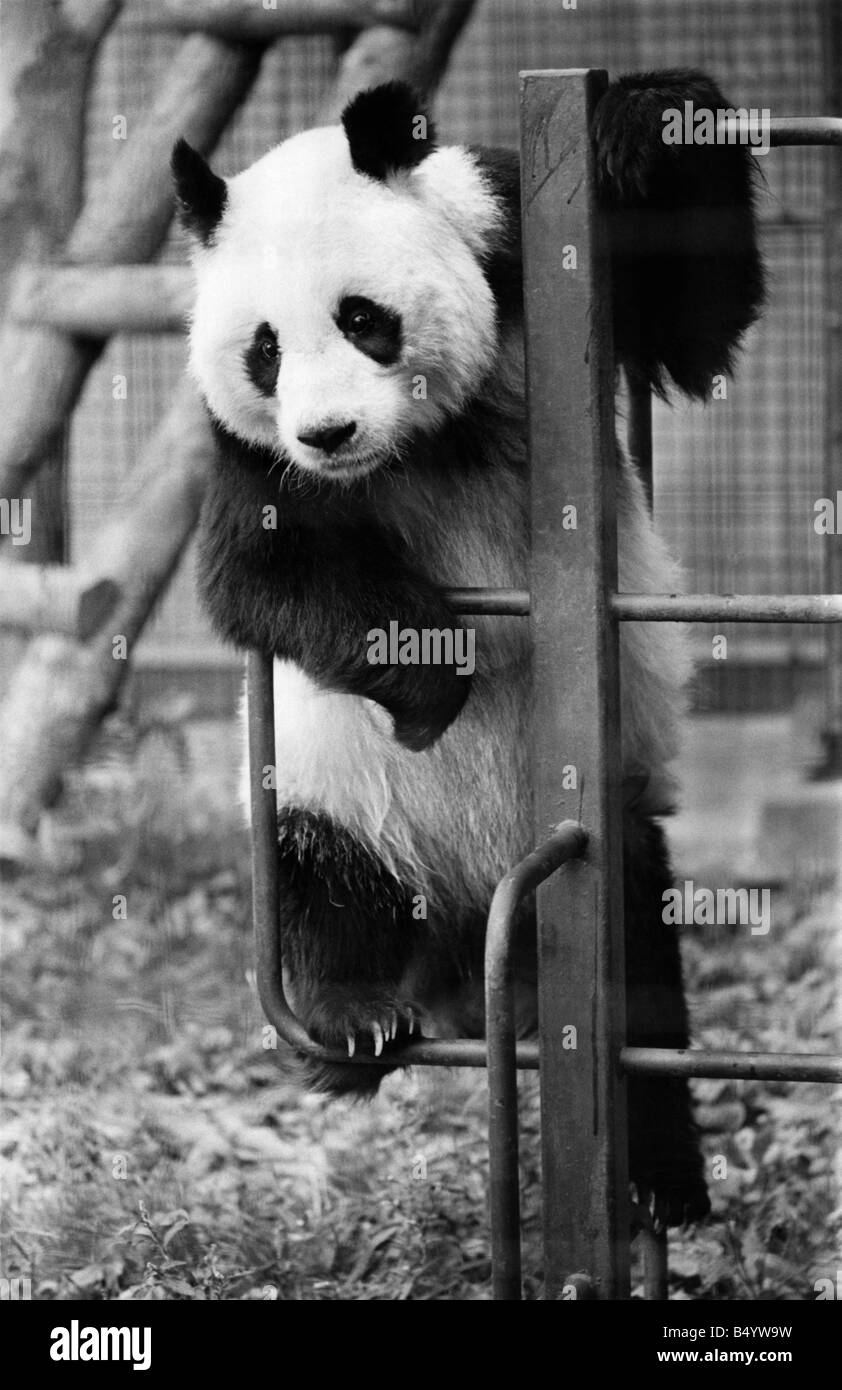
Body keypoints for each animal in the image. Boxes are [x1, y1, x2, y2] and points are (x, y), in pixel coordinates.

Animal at [172, 72, 763, 1228]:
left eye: (362, 319)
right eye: (264, 348)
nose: (327, 434)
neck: (418, 441)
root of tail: (459, 971)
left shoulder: (520, 252)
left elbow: (696, 322)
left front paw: (651, 118)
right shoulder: (247, 451)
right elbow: (256, 574)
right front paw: (433, 684)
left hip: (614, 835)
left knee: (638, 988)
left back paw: (661, 1183)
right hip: (337, 796)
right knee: (315, 871)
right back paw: (352, 1020)